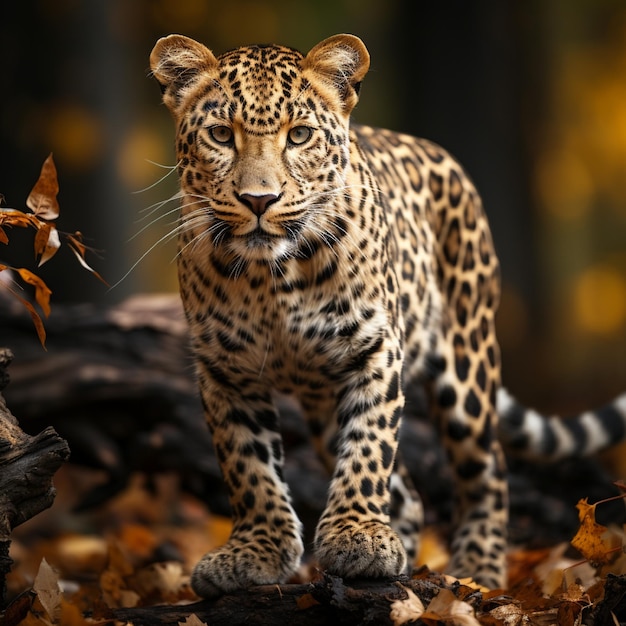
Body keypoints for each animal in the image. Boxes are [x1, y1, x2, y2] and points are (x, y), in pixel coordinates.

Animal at [150, 33, 624, 596]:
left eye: (300, 135)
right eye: (221, 135)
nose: (259, 200)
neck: (273, 281)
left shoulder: (374, 348)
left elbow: (370, 447)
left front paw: (357, 535)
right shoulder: (225, 370)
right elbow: (248, 466)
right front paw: (256, 552)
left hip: (467, 367)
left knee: (487, 470)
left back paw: (477, 571)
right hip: (323, 409)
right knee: (409, 495)